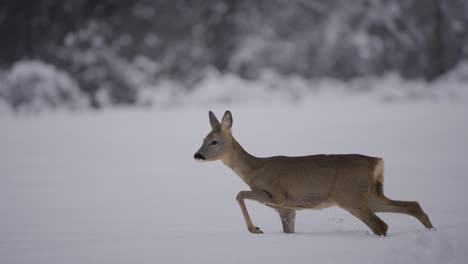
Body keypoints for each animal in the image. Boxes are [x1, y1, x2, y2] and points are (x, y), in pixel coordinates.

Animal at [192, 110, 434, 236]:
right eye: (203, 139)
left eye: (214, 142)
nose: (197, 155)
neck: (255, 169)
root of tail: (378, 162)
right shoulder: (288, 208)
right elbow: (288, 229)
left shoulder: (277, 195)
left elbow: (239, 194)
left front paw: (255, 229)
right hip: (370, 195)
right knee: (413, 205)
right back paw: (432, 232)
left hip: (350, 196)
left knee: (381, 225)